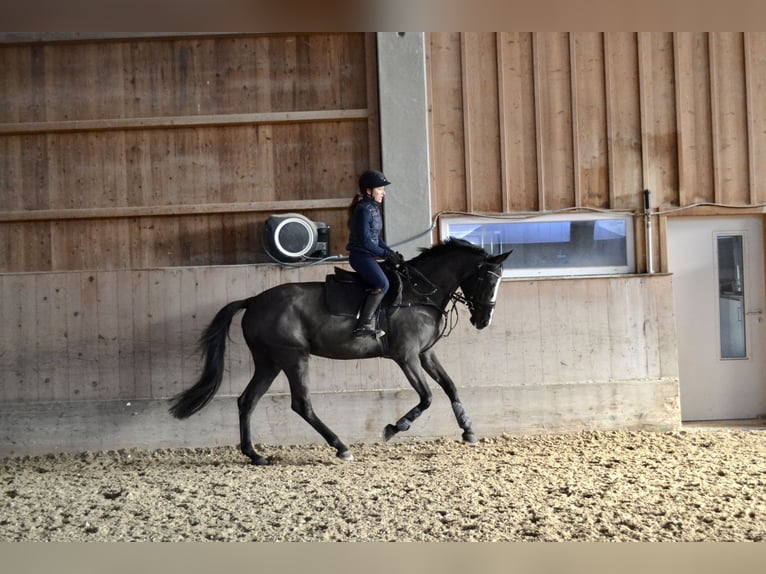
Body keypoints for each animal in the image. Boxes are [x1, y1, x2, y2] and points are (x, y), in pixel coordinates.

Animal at [169, 238, 511, 465]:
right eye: (485, 279)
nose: (483, 320)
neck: (420, 293)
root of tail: (252, 301)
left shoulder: (425, 354)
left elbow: (451, 386)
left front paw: (468, 429)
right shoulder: (407, 357)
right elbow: (426, 397)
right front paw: (393, 428)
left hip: (269, 362)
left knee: (247, 401)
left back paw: (255, 454)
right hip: (293, 358)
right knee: (301, 404)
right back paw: (340, 447)